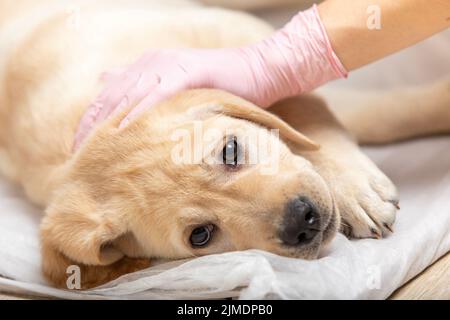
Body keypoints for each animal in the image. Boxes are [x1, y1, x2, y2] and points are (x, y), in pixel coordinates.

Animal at [0, 0, 450, 288]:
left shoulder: (232, 35)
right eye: (201, 235)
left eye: (230, 151)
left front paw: (355, 189)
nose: (300, 222)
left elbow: (312, 116)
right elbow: (367, 115)